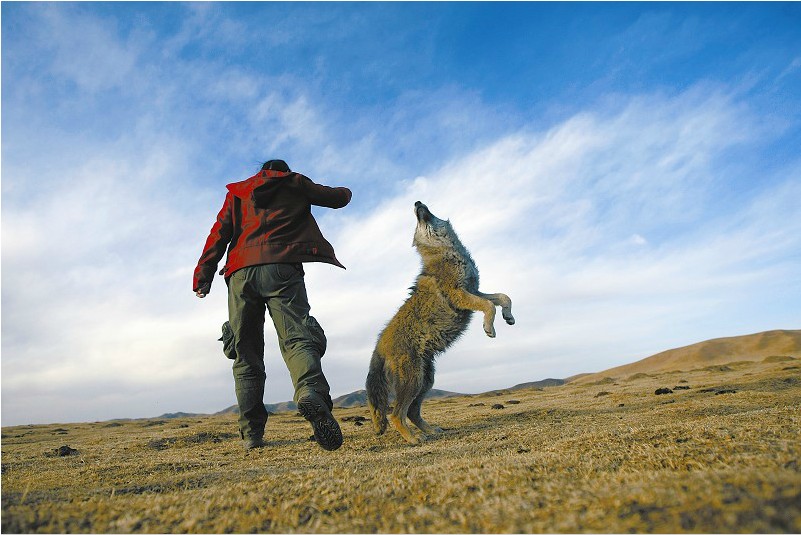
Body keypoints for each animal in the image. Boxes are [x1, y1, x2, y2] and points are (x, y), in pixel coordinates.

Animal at [366, 201, 516, 444]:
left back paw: (430, 431)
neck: (445, 251)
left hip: (425, 381)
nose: (417, 202)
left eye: (427, 210)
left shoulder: (474, 290)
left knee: (411, 412)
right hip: (413, 381)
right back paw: (413, 439)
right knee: (396, 414)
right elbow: (490, 306)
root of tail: (378, 347)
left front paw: (509, 317)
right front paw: (489, 328)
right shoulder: (460, 295)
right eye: (416, 222)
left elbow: (503, 297)